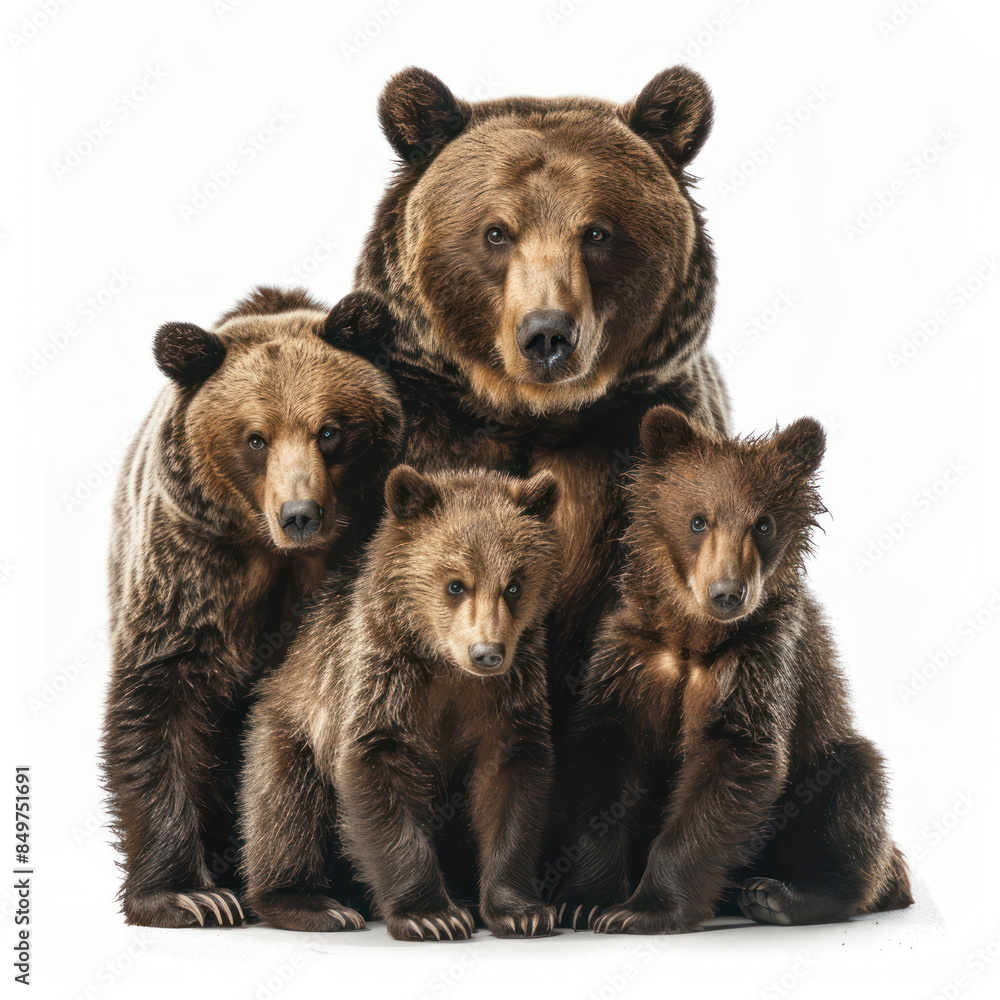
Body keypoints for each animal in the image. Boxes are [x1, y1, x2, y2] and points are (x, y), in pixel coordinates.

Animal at [102, 287, 403, 927]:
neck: (277, 557)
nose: (300, 514)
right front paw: (186, 895)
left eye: (329, 431)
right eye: (255, 438)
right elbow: (158, 704)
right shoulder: (189, 570)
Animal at [240, 465, 561, 940]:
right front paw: (432, 916)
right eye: (455, 584)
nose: (487, 652)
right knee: (285, 805)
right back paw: (314, 904)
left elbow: (511, 785)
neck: (445, 665)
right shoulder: (383, 681)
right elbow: (378, 770)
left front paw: (522, 911)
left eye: (514, 586)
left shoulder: (510, 694)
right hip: (290, 724)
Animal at [353, 66, 730, 731]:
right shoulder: (426, 434)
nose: (548, 334)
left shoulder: (635, 448)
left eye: (597, 231)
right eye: (496, 232)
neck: (532, 414)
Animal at [556, 405, 913, 933]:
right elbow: (601, 759)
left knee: (852, 784)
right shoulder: (631, 657)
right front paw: (586, 901)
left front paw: (644, 909)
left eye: (763, 524)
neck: (694, 637)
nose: (727, 592)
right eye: (697, 520)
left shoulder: (758, 662)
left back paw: (783, 896)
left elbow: (735, 758)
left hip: (827, 754)